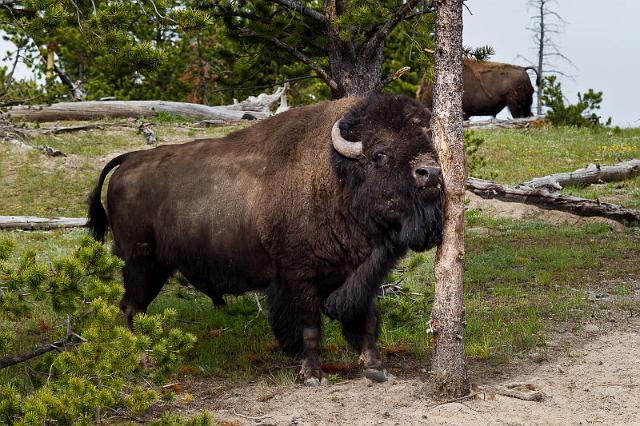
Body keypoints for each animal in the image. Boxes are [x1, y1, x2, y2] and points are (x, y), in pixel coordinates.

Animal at [87, 94, 442, 386]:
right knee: (130, 308)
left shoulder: (358, 276)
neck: (335, 176)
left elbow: (366, 321)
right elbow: (308, 328)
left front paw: (376, 369)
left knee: (134, 308)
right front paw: (312, 376)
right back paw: (141, 359)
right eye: (381, 153)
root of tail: (129, 159)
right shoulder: (298, 277)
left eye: (430, 144)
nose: (431, 173)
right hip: (140, 263)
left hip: (155, 266)